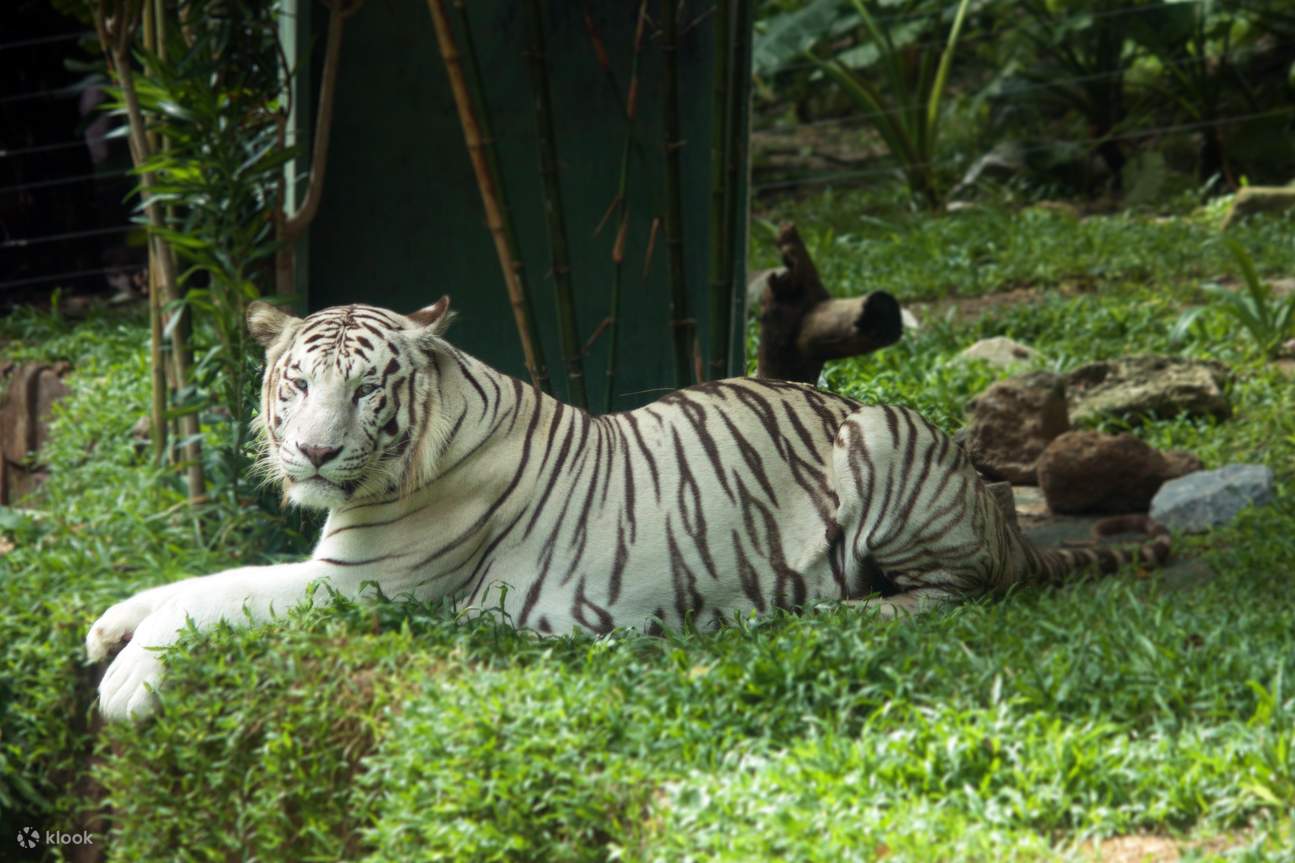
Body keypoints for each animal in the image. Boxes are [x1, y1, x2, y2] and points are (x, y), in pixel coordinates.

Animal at [86, 298, 1170, 720]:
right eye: (297, 384)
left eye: (364, 391)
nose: (312, 451)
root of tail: (1004, 515)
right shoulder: (331, 566)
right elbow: (205, 576)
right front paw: (106, 623)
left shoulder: (367, 585)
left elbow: (217, 597)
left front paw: (126, 683)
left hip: (880, 446)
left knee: (955, 591)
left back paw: (842, 609)